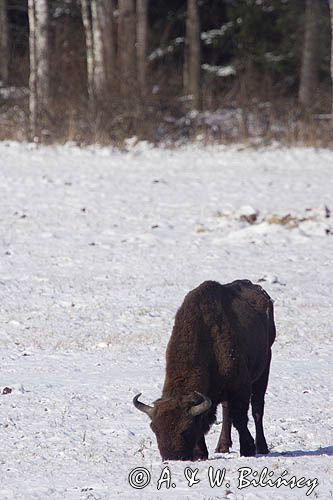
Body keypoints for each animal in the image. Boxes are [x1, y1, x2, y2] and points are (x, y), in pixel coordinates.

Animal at [133, 280, 274, 458]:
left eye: (185, 429)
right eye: (154, 429)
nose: (172, 458)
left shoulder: (240, 386)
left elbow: (240, 418)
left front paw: (247, 449)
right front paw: (201, 453)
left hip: (264, 368)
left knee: (257, 408)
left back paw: (261, 447)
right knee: (227, 412)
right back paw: (222, 446)